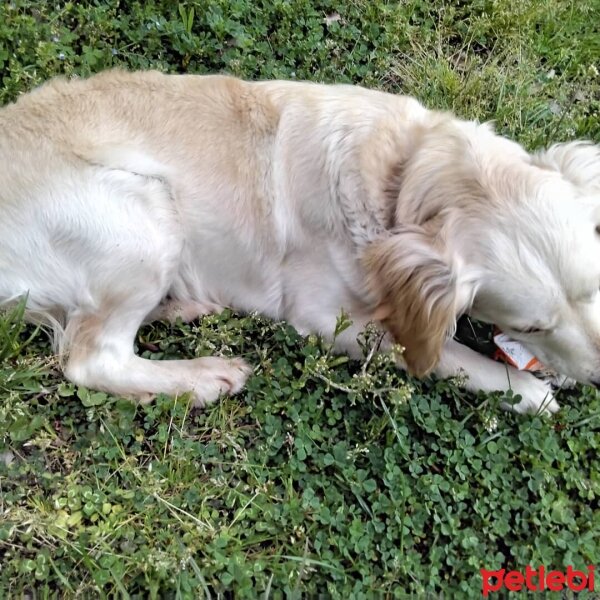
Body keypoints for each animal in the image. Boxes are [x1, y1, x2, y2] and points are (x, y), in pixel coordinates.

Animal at [0, 70, 596, 414]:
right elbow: (449, 354)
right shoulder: (326, 316)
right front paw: (528, 390)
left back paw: (185, 307)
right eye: (531, 326)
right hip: (145, 215)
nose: (596, 376)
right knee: (92, 358)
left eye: (594, 288)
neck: (406, 171)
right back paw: (201, 376)